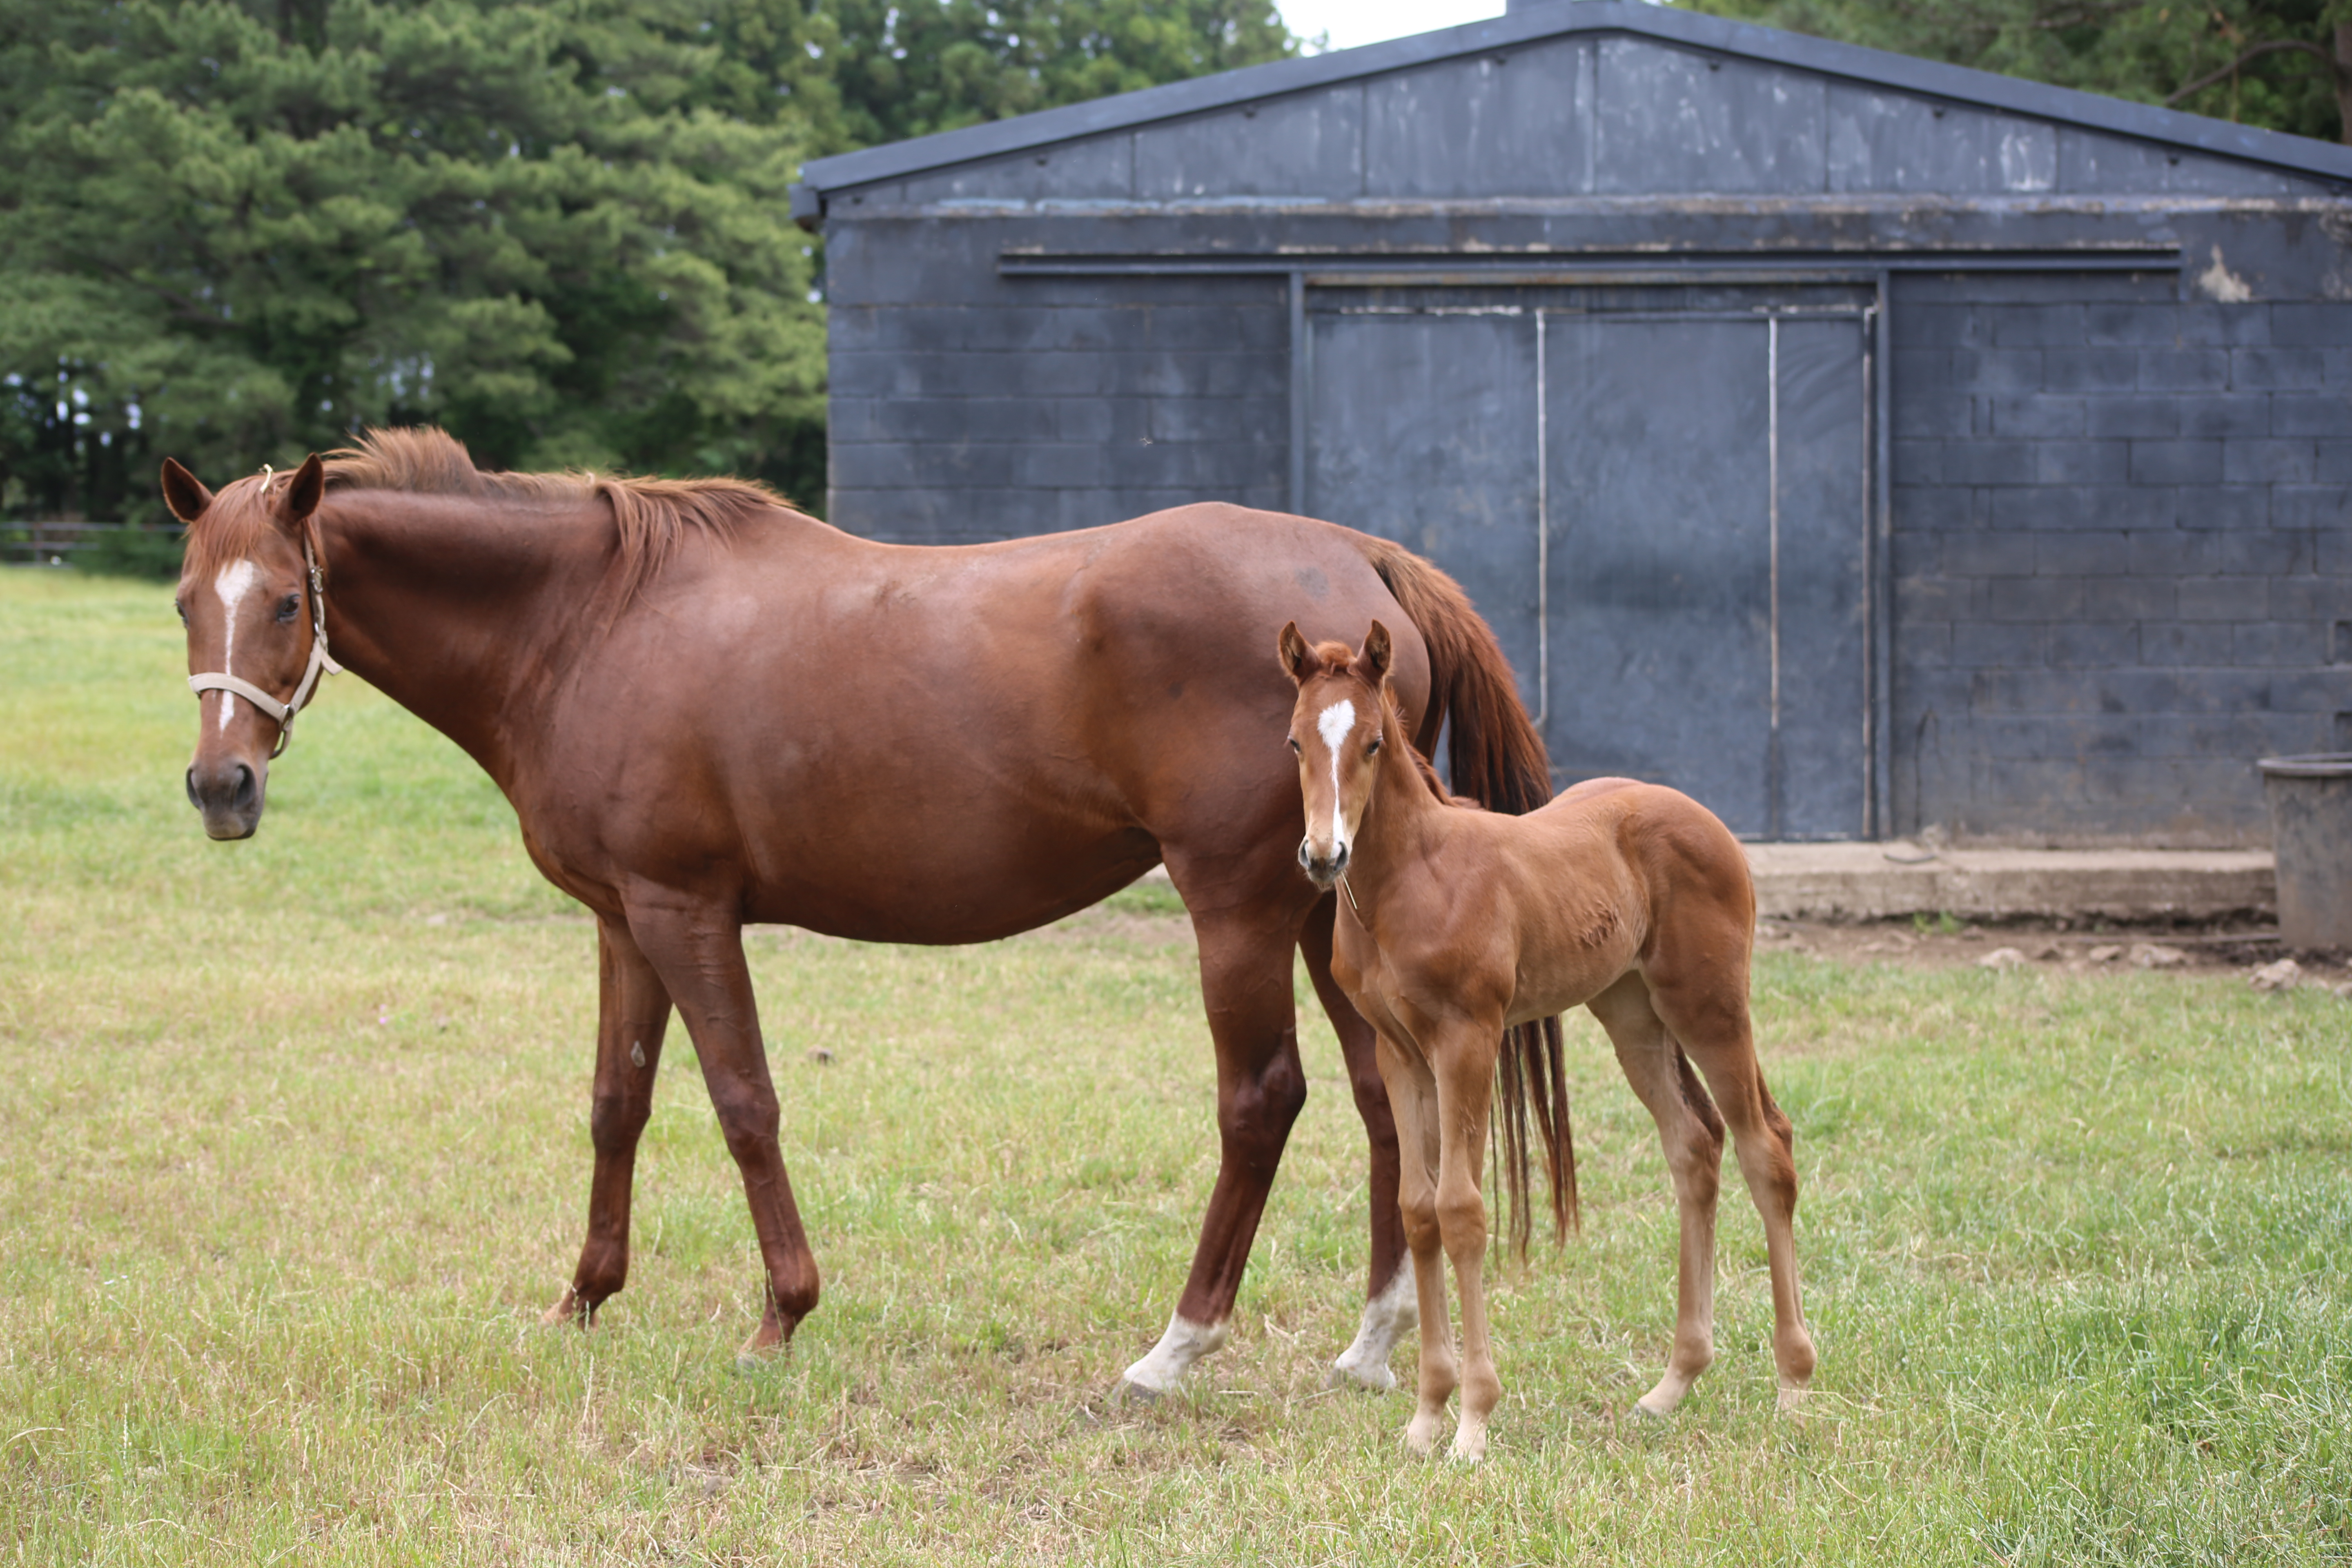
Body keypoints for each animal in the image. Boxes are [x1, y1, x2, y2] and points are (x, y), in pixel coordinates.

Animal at [1289, 620, 1815, 1457]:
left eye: (1372, 743)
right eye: (1295, 742)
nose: (1322, 855)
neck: (1409, 881)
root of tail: (1710, 821)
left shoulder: (1467, 1039)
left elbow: (1463, 1211)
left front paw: (1473, 1423)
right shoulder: (1399, 1052)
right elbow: (1418, 1211)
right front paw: (1426, 1418)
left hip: (1709, 1006)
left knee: (1765, 1145)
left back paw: (1793, 1385)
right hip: (1631, 1014)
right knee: (1694, 1144)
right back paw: (1673, 1384)